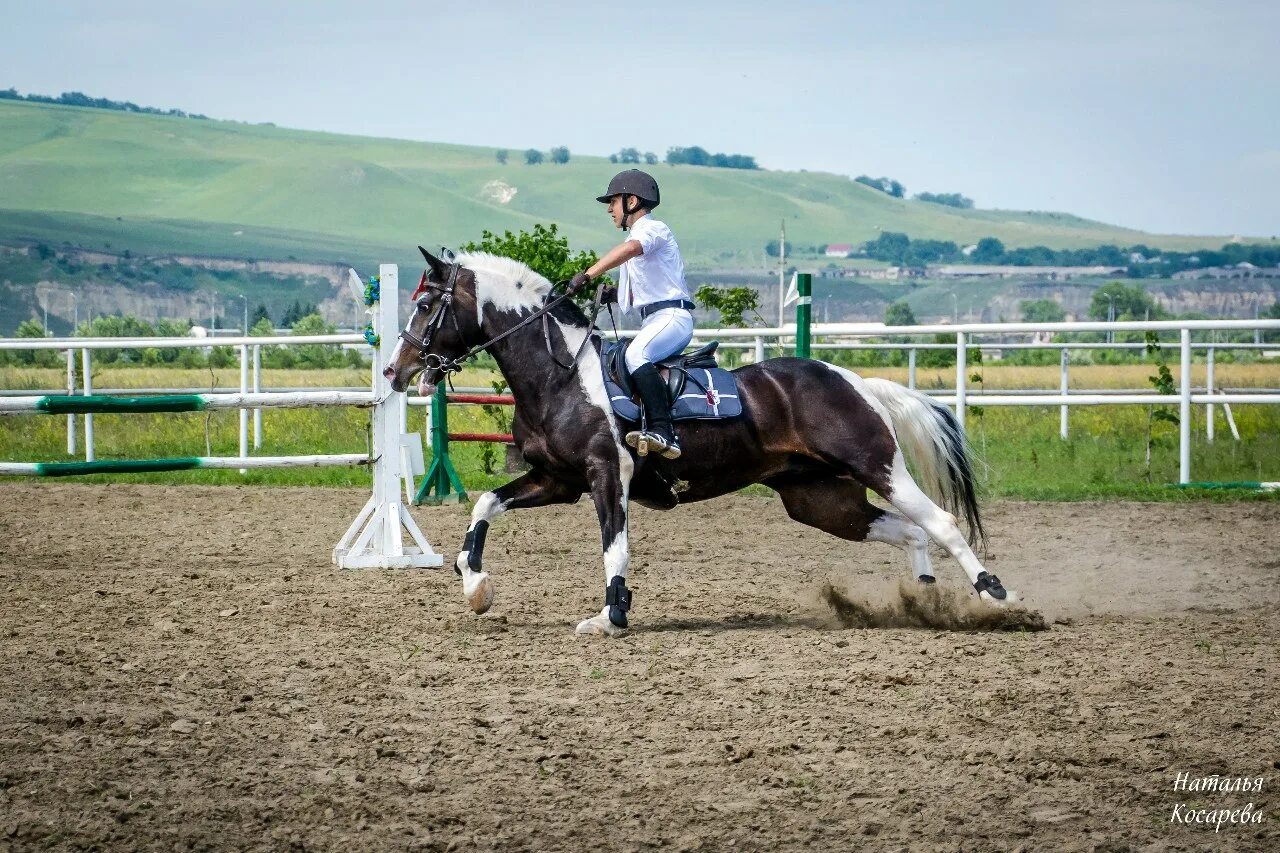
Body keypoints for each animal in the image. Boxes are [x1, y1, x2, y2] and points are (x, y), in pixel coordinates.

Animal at [384, 249, 1013, 635]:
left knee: (939, 522)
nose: (394, 370)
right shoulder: (556, 481)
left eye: (426, 306)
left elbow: (615, 547)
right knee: (905, 529)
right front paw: (475, 584)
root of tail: (851, 379)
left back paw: (993, 595)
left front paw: (611, 617)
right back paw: (925, 599)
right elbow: (485, 503)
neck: (560, 376)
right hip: (817, 499)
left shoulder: (606, 476)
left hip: (875, 465)